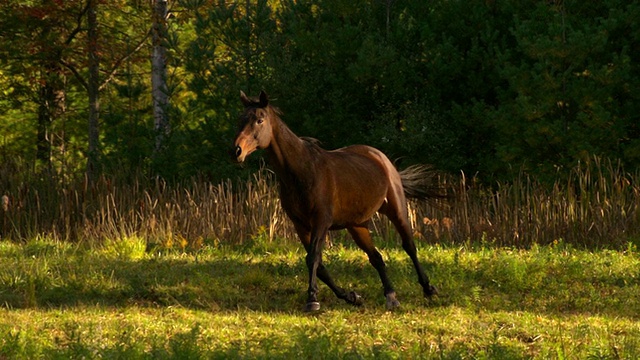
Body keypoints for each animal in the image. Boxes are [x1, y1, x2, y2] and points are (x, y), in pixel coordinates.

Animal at [234, 91, 440, 310]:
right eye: (240, 120)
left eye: (260, 120)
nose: (236, 151)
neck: (303, 170)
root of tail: (381, 157)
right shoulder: (300, 225)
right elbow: (319, 265)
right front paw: (351, 296)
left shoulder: (321, 221)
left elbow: (313, 258)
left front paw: (312, 300)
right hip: (357, 225)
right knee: (376, 257)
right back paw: (391, 296)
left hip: (396, 210)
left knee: (409, 246)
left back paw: (428, 289)